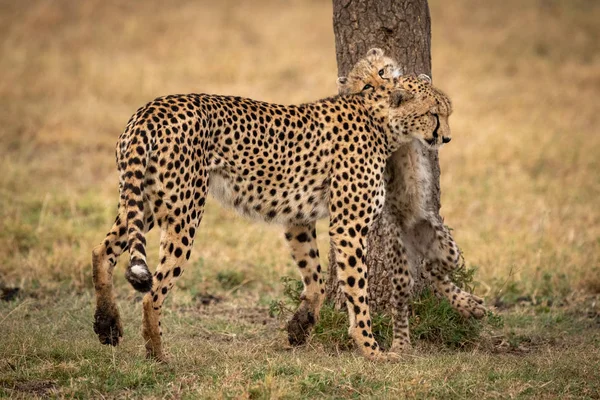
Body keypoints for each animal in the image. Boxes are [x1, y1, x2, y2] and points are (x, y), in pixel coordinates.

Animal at [91, 73, 452, 360]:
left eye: (447, 112)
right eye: (434, 113)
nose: (446, 138)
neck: (380, 120)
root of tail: (152, 109)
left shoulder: (298, 219)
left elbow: (317, 280)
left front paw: (299, 328)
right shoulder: (348, 227)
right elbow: (357, 291)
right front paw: (372, 349)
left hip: (146, 202)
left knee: (102, 250)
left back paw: (107, 325)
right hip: (183, 210)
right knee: (152, 291)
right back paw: (157, 353)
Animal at [338, 48, 488, 352]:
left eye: (382, 71)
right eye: (365, 86)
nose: (447, 137)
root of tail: (412, 233)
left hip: (441, 241)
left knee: (436, 269)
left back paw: (469, 304)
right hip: (398, 258)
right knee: (403, 297)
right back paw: (400, 345)